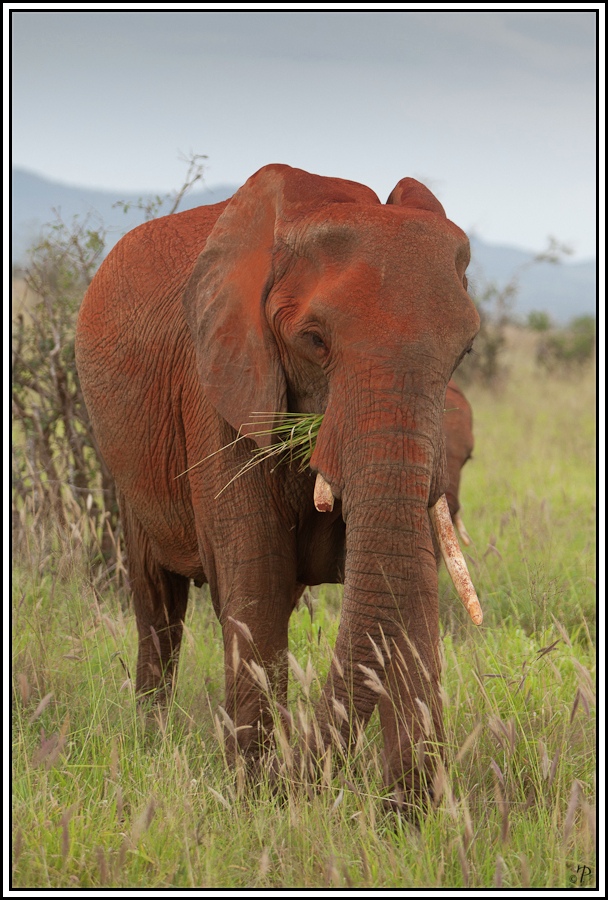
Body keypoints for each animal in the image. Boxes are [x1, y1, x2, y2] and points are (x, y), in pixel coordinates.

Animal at [76, 163, 482, 808]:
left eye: (464, 351)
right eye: (314, 341)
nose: (303, 780)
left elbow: (409, 588)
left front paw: (412, 814)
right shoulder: (218, 384)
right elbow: (257, 582)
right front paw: (257, 796)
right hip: (126, 467)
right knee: (157, 606)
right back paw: (150, 740)